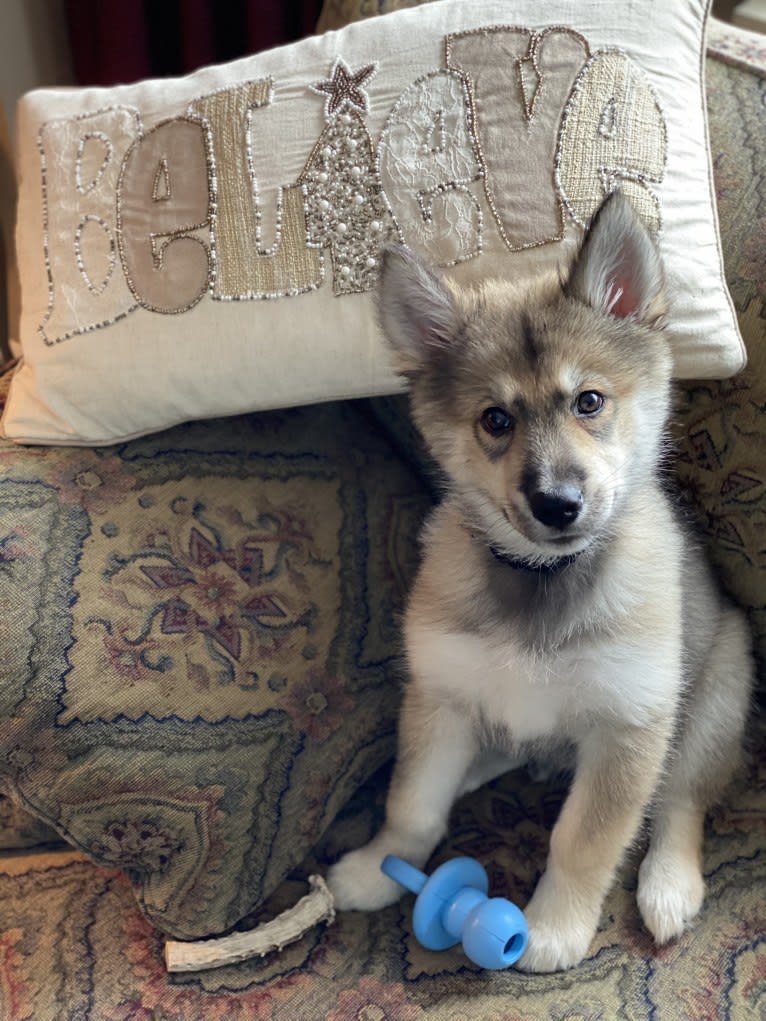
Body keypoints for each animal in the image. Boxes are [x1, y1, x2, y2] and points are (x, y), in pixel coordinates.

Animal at [330, 192, 755, 971]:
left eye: (588, 401)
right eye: (495, 419)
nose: (557, 504)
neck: (541, 581)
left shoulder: (629, 726)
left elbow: (583, 840)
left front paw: (555, 927)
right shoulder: (441, 697)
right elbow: (413, 807)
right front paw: (379, 867)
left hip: (717, 696)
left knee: (682, 801)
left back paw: (669, 884)